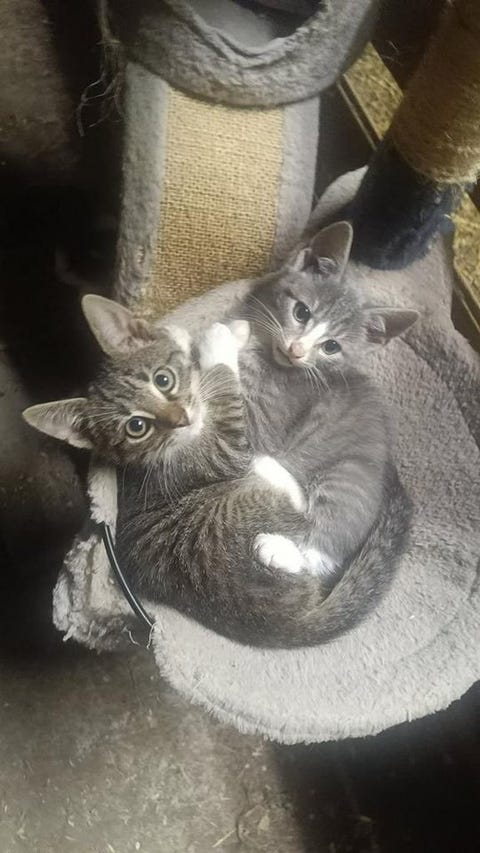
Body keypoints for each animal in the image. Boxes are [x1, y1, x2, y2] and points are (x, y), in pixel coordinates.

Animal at [23, 221, 416, 648]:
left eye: (331, 347)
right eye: (301, 312)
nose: (297, 350)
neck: (269, 354)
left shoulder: (262, 418)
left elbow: (226, 400)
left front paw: (219, 342)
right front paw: (211, 334)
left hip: (345, 478)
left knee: (322, 544)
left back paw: (278, 541)